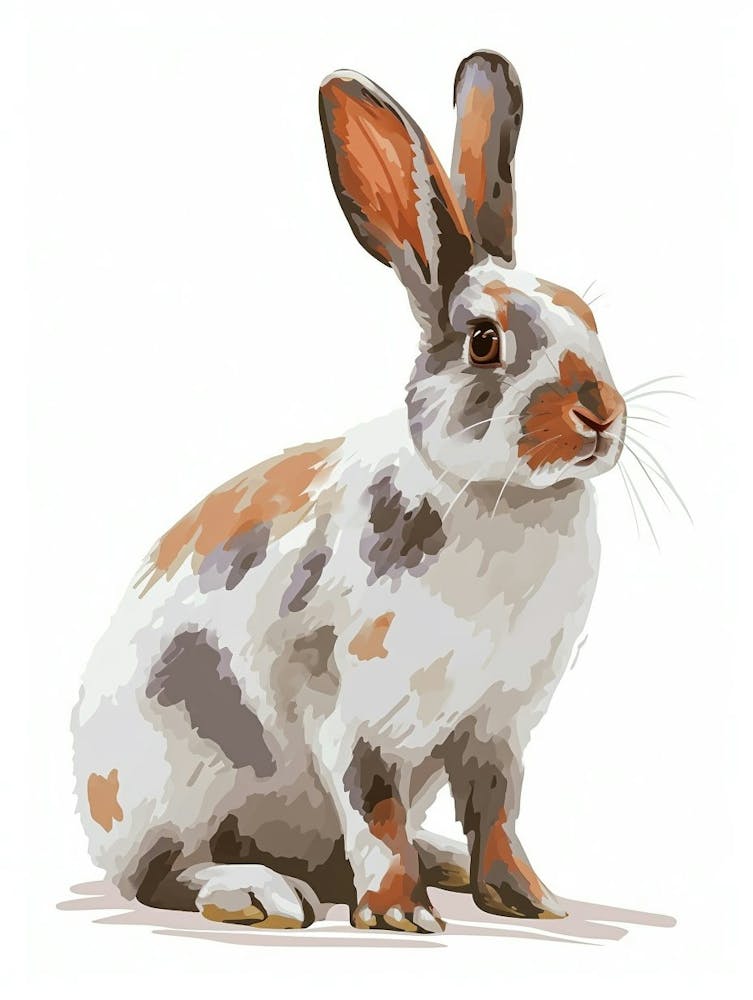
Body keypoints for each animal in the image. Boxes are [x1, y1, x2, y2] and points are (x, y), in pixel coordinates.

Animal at [72, 49, 626, 934]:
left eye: (588, 318)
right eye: (483, 342)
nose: (599, 415)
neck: (501, 498)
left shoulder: (496, 729)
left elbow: (499, 812)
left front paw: (527, 901)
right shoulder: (353, 717)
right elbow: (375, 809)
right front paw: (400, 917)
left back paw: (438, 862)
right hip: (177, 778)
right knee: (162, 874)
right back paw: (259, 893)